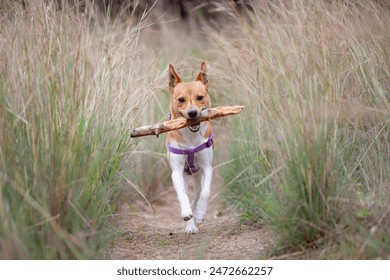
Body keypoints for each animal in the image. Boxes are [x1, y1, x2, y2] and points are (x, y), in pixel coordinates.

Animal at [165, 61, 213, 234]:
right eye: (181, 99)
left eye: (200, 97)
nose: (192, 113)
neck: (191, 139)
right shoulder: (177, 172)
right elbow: (182, 194)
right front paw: (187, 215)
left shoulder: (207, 167)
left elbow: (205, 192)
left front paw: (200, 214)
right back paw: (191, 224)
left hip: (198, 175)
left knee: (198, 191)